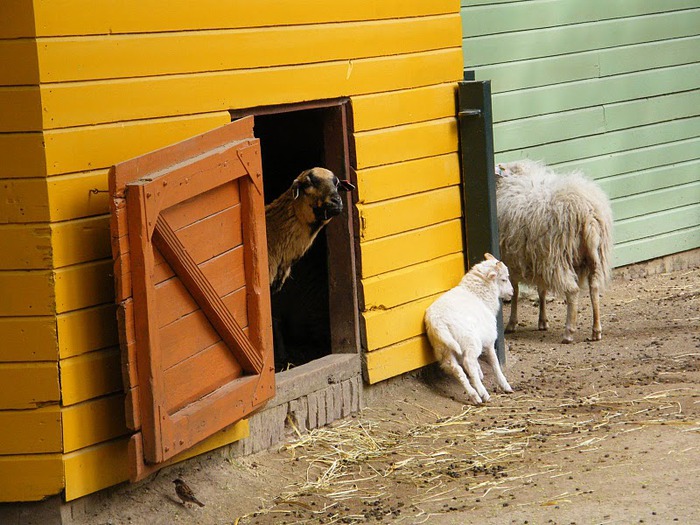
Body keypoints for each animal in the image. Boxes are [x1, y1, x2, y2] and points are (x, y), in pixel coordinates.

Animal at [422, 252, 516, 404]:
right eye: (503, 279)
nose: (512, 293)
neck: (477, 294)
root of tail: (438, 322)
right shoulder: (489, 339)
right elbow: (495, 362)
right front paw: (505, 385)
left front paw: (480, 373)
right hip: (470, 341)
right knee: (468, 362)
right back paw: (483, 393)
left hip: (444, 348)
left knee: (456, 369)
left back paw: (474, 395)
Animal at [492, 160, 612, 344]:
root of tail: (588, 215)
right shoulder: (538, 257)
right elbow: (541, 290)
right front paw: (543, 321)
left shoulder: (512, 261)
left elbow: (515, 291)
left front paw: (512, 323)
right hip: (592, 257)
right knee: (594, 288)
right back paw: (596, 330)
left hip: (558, 258)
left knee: (573, 291)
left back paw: (569, 332)